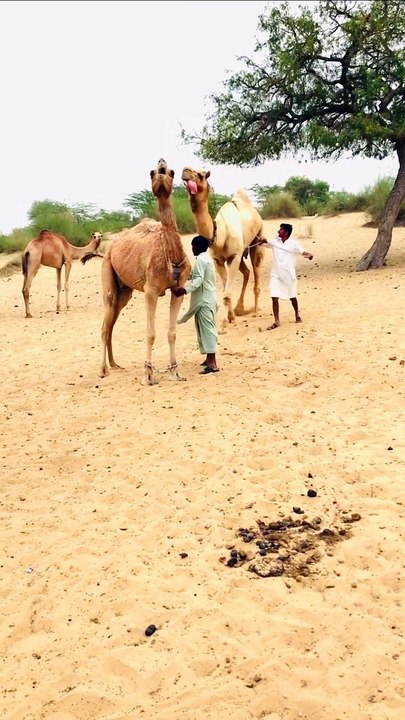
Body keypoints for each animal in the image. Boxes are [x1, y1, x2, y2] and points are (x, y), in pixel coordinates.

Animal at [81, 159, 191, 386]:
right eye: (151, 172)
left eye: (172, 172)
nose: (161, 164)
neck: (173, 257)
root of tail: (109, 248)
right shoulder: (151, 291)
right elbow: (150, 333)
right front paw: (148, 375)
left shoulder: (179, 290)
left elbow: (172, 332)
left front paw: (176, 372)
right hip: (108, 276)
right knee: (105, 325)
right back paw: (102, 370)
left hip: (125, 292)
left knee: (111, 324)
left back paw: (115, 364)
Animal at [181, 166, 265, 333]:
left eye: (201, 175)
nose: (185, 170)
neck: (220, 234)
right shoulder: (218, 260)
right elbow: (227, 288)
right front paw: (232, 317)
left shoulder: (233, 256)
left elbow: (226, 294)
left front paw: (224, 324)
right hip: (241, 253)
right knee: (246, 272)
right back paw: (240, 309)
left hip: (258, 240)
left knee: (256, 271)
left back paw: (255, 311)